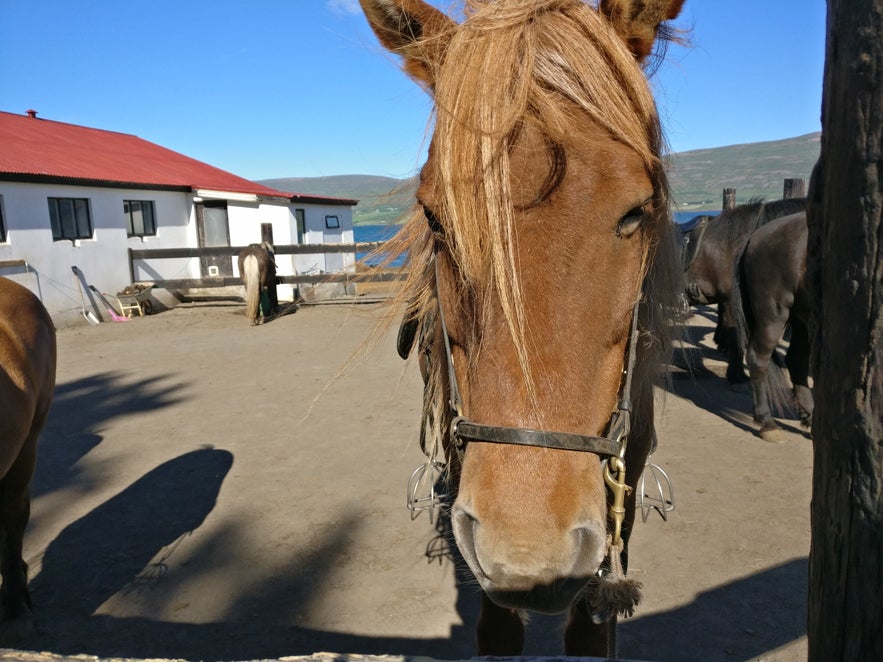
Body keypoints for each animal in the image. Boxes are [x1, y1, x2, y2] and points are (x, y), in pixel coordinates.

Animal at [728, 210, 812, 444]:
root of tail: (753, 237)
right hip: (774, 314)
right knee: (758, 359)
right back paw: (767, 423)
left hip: (802, 317)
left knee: (796, 360)